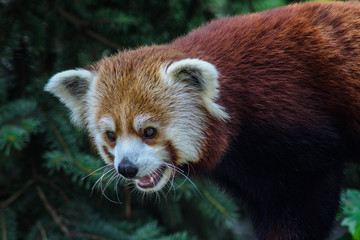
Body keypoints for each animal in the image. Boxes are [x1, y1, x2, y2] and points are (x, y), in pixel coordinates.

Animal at [44, 1, 360, 240]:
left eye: (149, 132)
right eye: (111, 136)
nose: (127, 168)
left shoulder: (296, 124)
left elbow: (304, 201)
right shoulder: (249, 174)